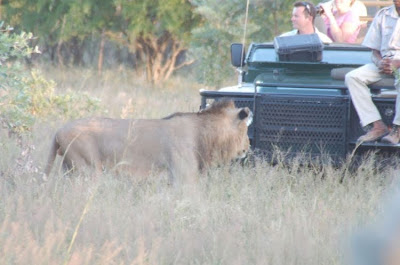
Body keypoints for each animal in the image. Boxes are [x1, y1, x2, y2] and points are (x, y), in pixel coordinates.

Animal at [44, 99, 253, 182]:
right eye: (245, 129)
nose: (248, 148)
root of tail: (58, 130)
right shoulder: (184, 176)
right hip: (88, 169)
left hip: (69, 169)